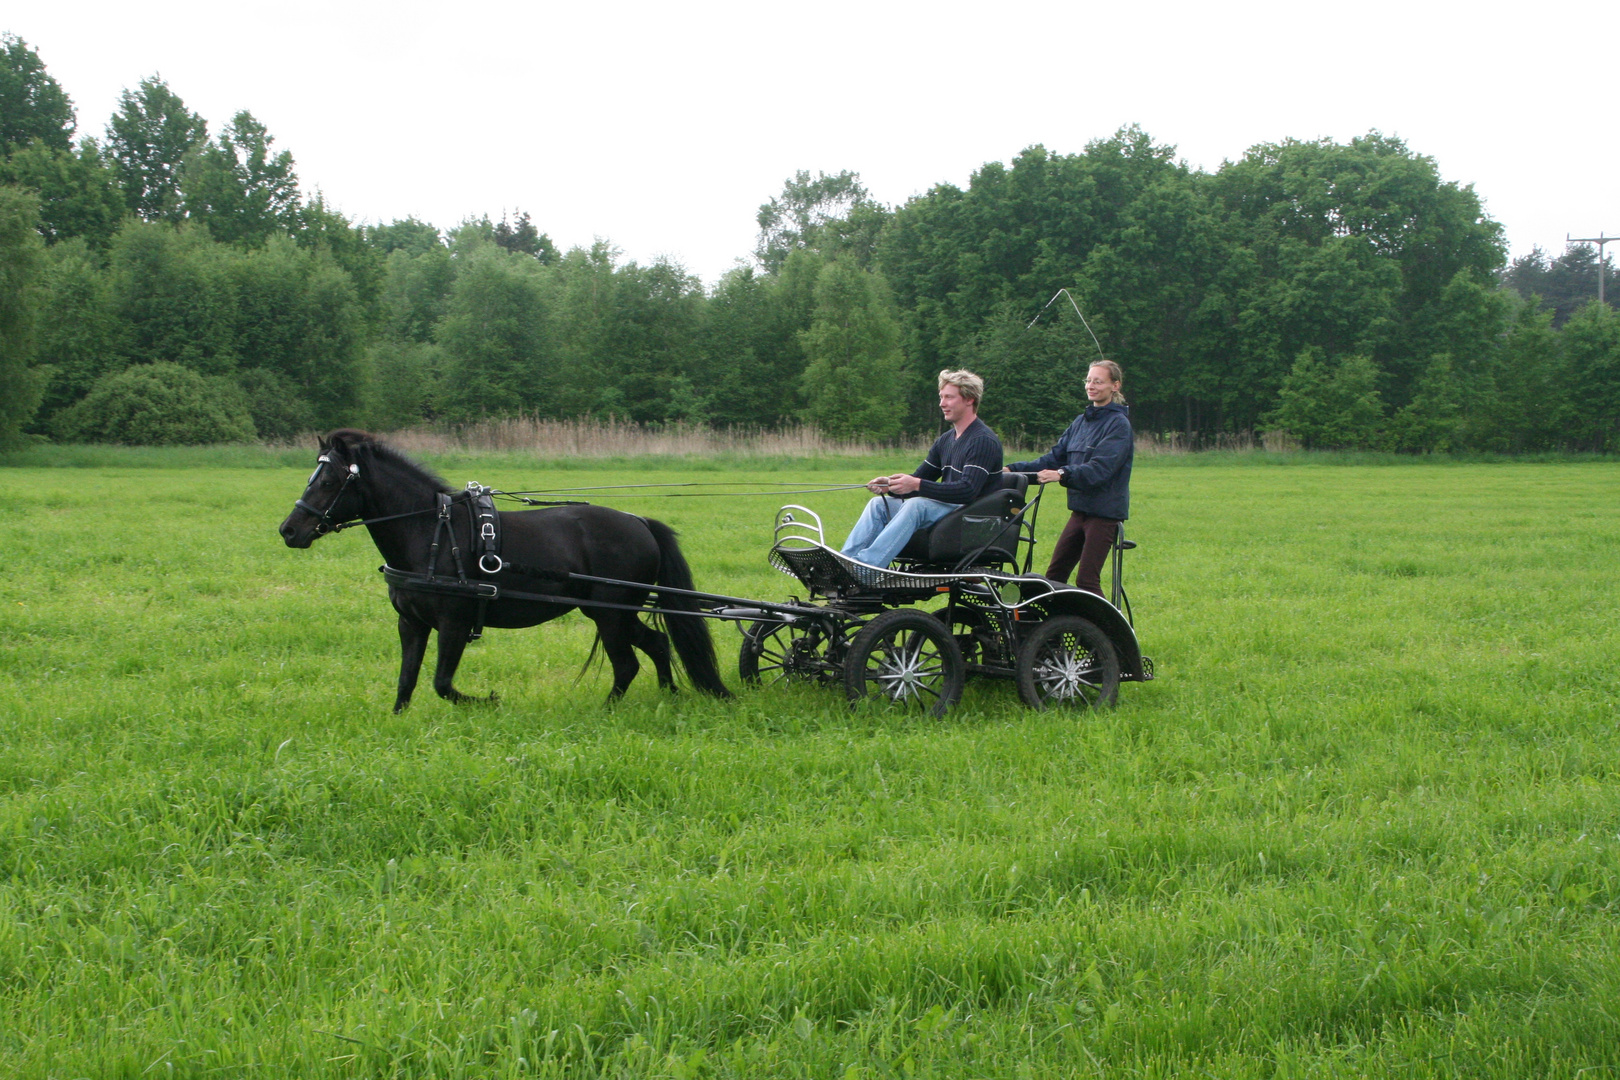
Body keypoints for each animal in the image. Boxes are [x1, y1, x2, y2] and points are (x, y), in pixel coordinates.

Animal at [281, 427, 732, 712]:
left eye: (328, 481)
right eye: (311, 477)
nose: (289, 530)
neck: (431, 531)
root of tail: (639, 522)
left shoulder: (454, 622)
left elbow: (442, 684)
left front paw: (489, 702)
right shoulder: (411, 623)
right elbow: (406, 681)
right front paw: (398, 723)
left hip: (611, 613)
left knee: (627, 664)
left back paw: (608, 710)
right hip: (611, 611)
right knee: (657, 644)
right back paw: (669, 695)